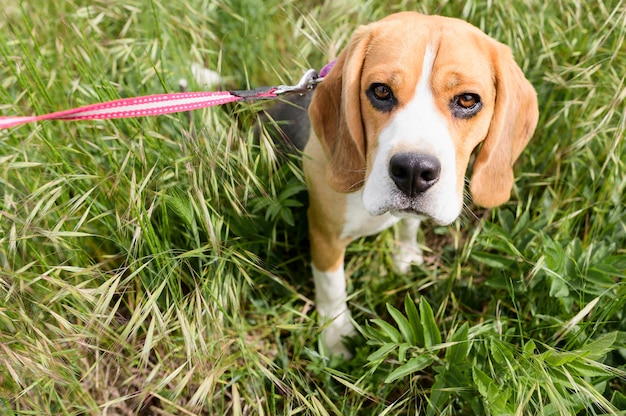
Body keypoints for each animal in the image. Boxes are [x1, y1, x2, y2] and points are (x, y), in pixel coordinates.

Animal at [260, 11, 540, 356]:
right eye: (381, 91)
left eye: (467, 100)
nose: (413, 171)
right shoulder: (324, 231)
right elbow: (331, 285)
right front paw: (336, 335)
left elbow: (409, 225)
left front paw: (406, 255)